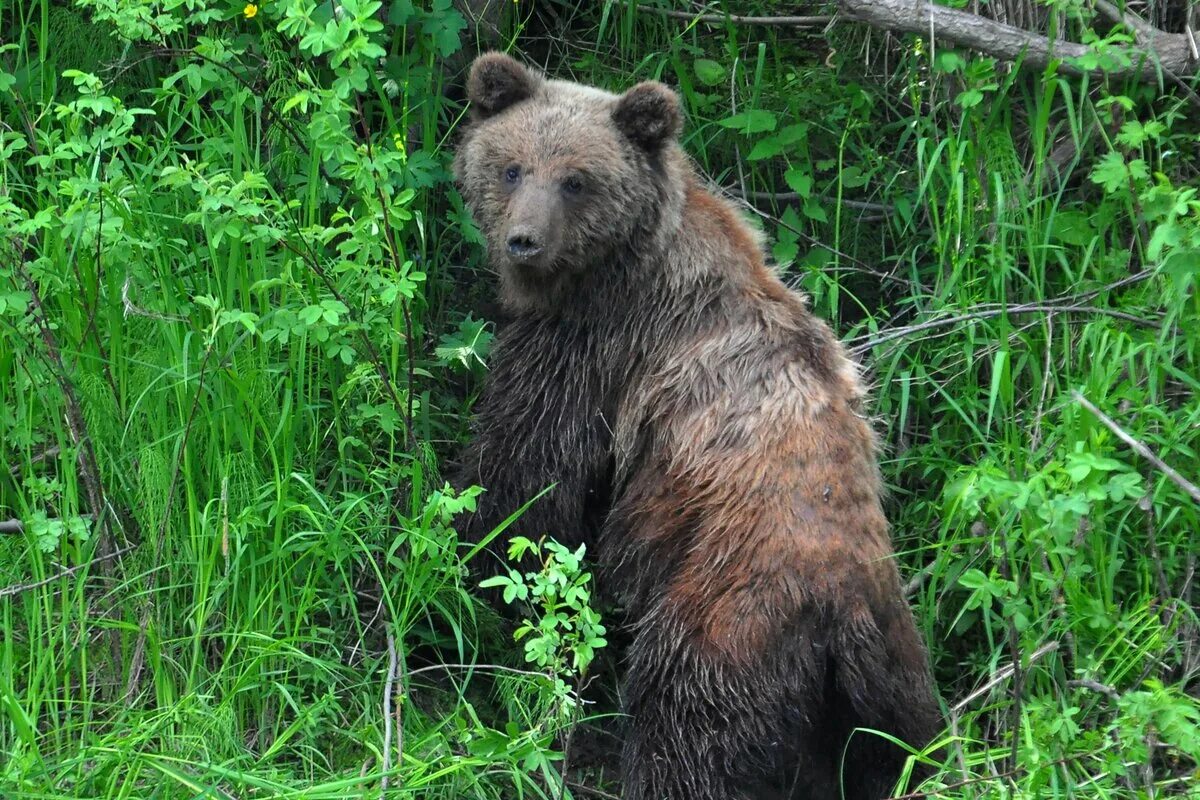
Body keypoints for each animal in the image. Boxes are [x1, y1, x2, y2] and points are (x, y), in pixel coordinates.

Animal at [451, 53, 936, 800]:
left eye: (576, 179)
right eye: (511, 167)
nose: (524, 241)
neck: (615, 263)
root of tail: (840, 608)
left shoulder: (595, 347)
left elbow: (529, 473)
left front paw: (468, 558)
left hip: (723, 621)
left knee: (684, 732)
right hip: (893, 678)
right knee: (905, 750)